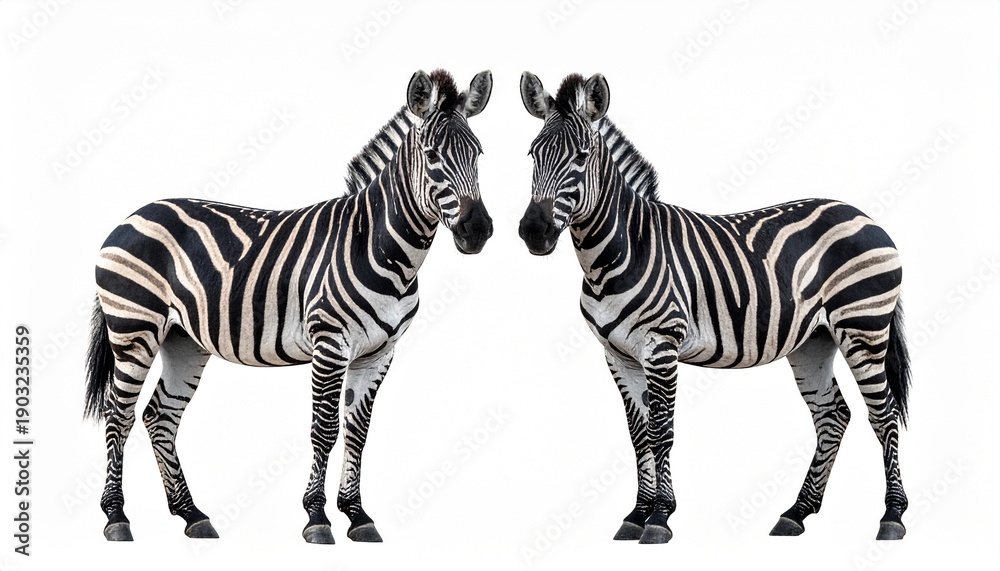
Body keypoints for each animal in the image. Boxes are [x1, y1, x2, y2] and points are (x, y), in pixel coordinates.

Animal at [84, 69, 494, 544]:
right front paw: (317, 517)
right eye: (431, 156)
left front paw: (357, 515)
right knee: (119, 413)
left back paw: (191, 514)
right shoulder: (330, 343)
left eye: (478, 154)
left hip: (183, 340)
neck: (380, 247)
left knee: (159, 415)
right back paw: (116, 517)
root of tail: (133, 215)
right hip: (134, 328)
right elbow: (325, 429)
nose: (477, 230)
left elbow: (358, 432)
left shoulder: (380, 352)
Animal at [517, 71, 911, 544]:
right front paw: (636, 514)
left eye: (581, 156)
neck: (618, 252)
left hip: (863, 326)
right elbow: (638, 435)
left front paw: (660, 517)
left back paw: (892, 515)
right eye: (532, 154)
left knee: (884, 414)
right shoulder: (617, 355)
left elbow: (661, 432)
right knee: (833, 415)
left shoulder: (662, 345)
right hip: (813, 340)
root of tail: (864, 215)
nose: (534, 231)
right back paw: (796, 513)